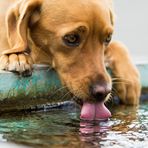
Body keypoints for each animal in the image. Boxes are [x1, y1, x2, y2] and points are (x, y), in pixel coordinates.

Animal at [0, 0, 141, 119]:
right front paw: (15, 56)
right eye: (72, 38)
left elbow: (119, 45)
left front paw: (130, 79)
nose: (103, 92)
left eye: (108, 38)